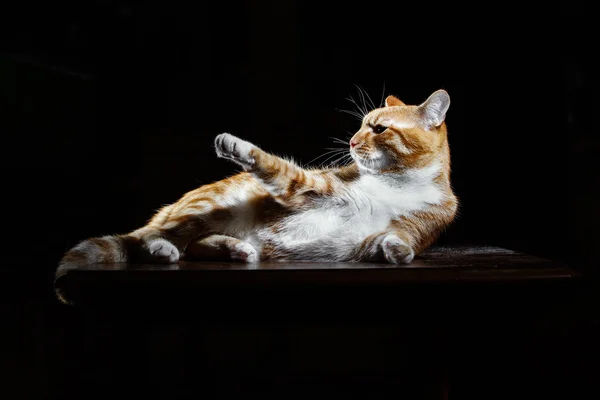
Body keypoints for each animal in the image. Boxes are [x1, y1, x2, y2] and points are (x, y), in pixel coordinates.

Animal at [57, 89, 460, 274]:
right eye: (360, 125)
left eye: (378, 129)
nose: (351, 142)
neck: (396, 183)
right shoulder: (308, 187)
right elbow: (274, 164)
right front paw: (235, 145)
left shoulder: (390, 234)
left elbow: (396, 241)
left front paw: (398, 252)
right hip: (211, 206)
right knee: (149, 237)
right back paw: (162, 249)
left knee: (193, 245)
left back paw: (235, 249)